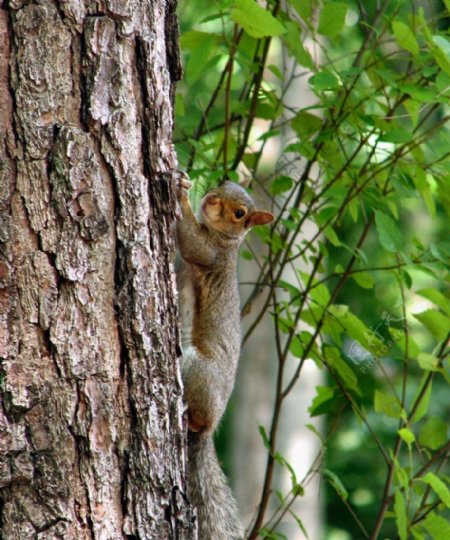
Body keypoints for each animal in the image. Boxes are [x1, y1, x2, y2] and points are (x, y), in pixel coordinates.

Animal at [176, 173, 274, 540]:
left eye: (241, 213)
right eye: (221, 183)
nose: (212, 201)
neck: (228, 242)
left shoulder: (212, 255)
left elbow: (189, 240)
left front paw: (181, 193)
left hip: (195, 370)